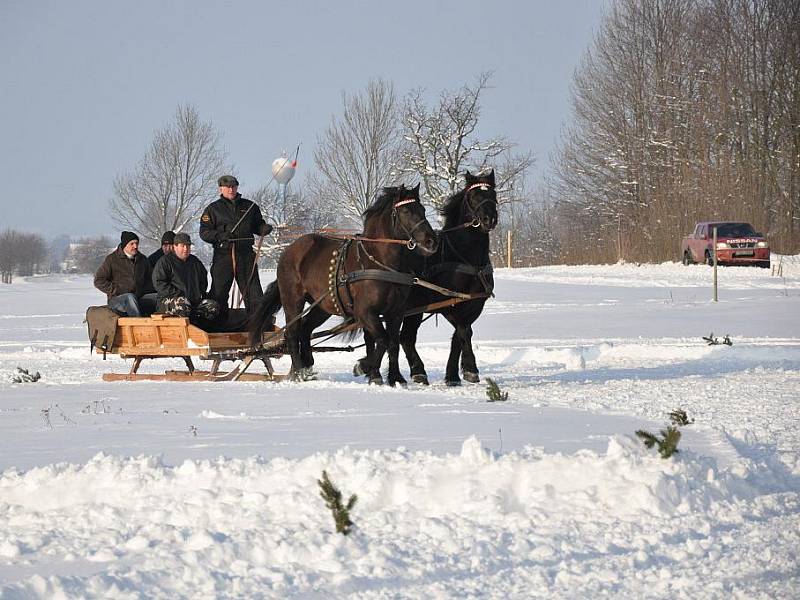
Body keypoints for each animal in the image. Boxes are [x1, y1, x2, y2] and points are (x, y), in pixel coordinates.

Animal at [250, 184, 438, 384]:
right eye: (405, 211)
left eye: (422, 209)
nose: (431, 241)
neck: (379, 261)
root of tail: (290, 250)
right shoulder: (365, 312)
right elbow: (383, 340)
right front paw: (365, 367)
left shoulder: (395, 313)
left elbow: (393, 344)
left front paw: (395, 377)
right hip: (293, 300)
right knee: (293, 333)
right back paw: (299, 372)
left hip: (322, 305)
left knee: (305, 329)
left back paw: (307, 366)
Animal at [358, 170, 496, 384]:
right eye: (474, 196)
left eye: (493, 194)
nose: (490, 219)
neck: (465, 257)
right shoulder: (448, 303)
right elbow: (463, 331)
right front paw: (468, 369)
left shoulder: (474, 304)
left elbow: (460, 334)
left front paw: (456, 373)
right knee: (392, 337)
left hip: (411, 309)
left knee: (402, 337)